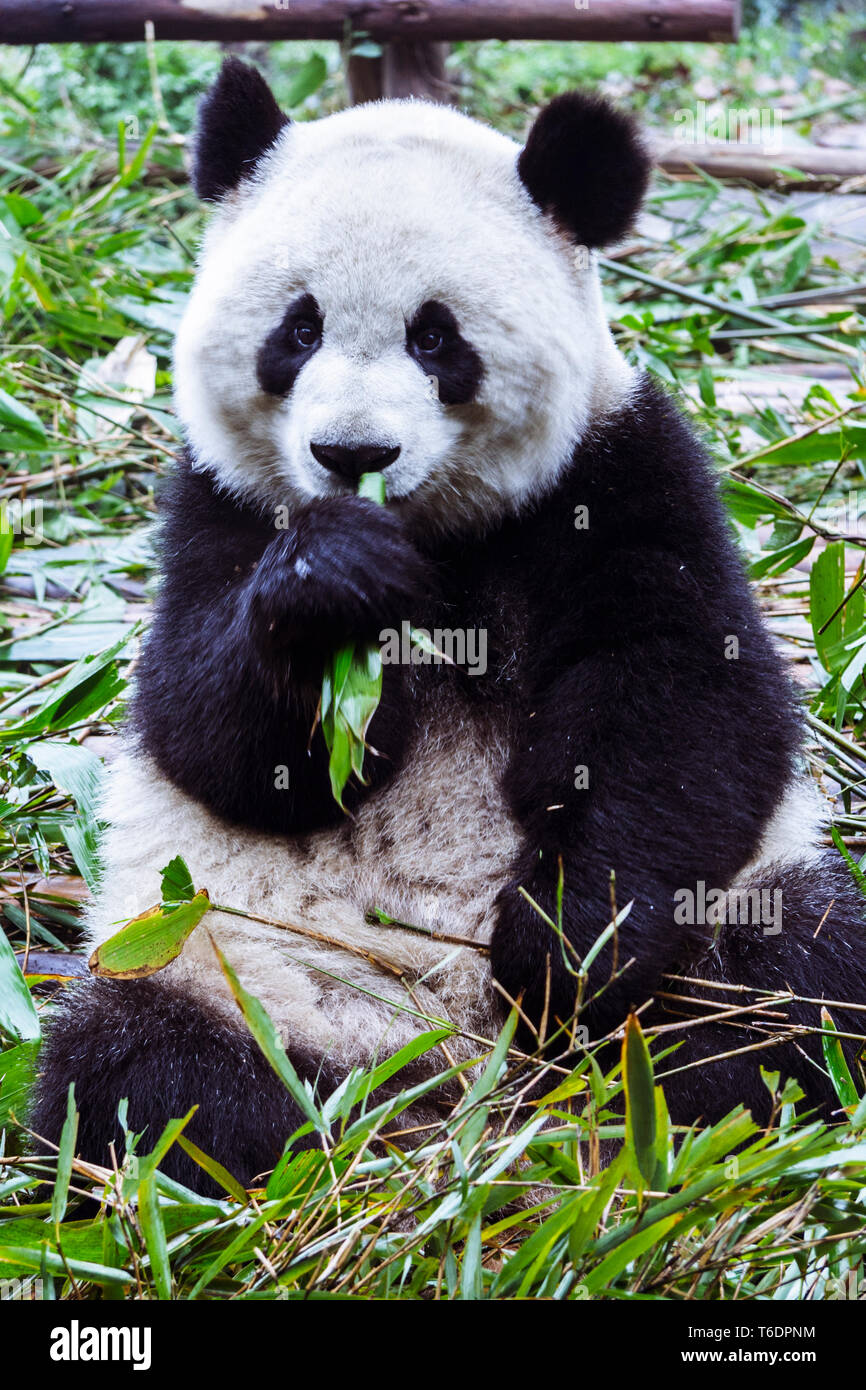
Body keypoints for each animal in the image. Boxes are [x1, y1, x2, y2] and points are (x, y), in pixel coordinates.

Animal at [32, 59, 866, 1190]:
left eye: (436, 336)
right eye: (298, 328)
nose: (352, 454)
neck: (441, 538)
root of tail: (461, 1075)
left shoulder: (619, 470)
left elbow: (687, 702)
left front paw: (566, 945)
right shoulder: (218, 504)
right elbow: (205, 734)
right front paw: (332, 581)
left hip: (737, 909)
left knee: (803, 977)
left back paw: (687, 1095)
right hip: (212, 952)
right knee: (131, 1079)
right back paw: (288, 1139)